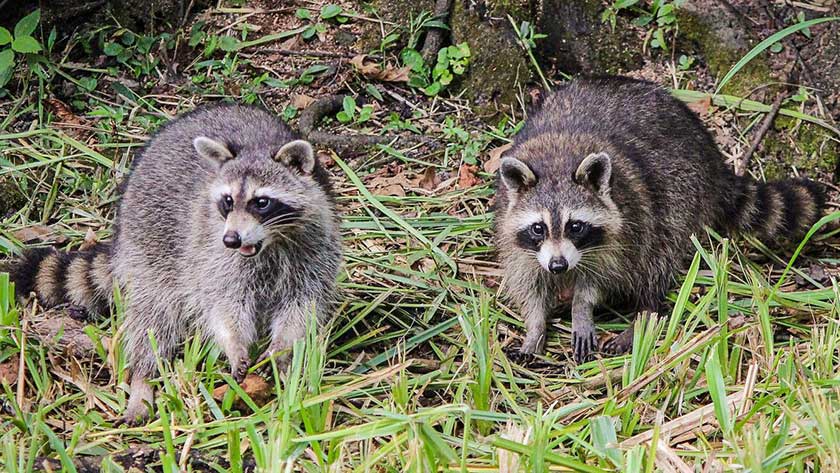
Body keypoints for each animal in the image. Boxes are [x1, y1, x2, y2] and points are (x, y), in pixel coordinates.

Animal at [6, 105, 342, 422]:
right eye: (228, 201)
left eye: (261, 202)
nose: (231, 239)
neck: (270, 243)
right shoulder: (212, 254)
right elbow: (222, 305)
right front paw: (235, 345)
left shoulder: (315, 250)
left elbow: (302, 306)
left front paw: (282, 351)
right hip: (149, 247)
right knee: (153, 318)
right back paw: (143, 380)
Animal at [496, 77, 824, 364]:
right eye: (538, 228)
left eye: (575, 226)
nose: (558, 266)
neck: (555, 162)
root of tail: (711, 156)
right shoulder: (516, 237)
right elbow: (528, 285)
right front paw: (535, 328)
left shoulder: (624, 227)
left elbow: (601, 277)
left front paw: (582, 308)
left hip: (682, 194)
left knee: (657, 253)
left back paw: (645, 313)